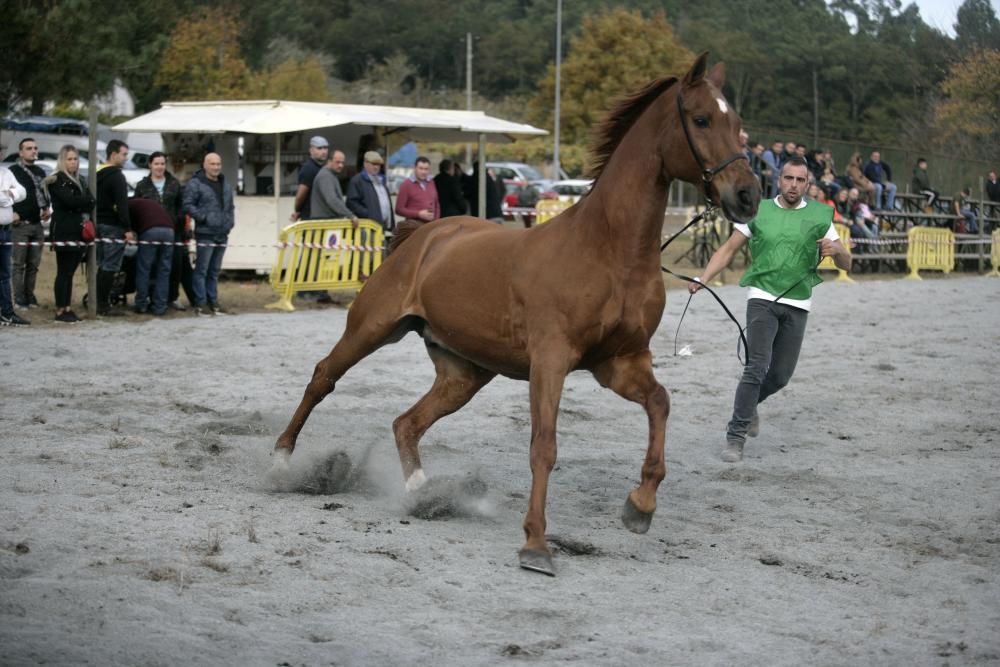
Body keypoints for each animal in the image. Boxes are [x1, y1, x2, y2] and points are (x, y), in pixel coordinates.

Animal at [272, 53, 756, 576]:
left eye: (738, 123)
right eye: (702, 119)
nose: (748, 195)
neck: (610, 252)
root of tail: (423, 236)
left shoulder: (620, 363)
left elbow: (661, 404)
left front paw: (639, 507)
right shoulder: (551, 361)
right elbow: (544, 446)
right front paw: (536, 545)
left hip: (463, 374)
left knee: (407, 423)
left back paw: (424, 495)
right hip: (372, 327)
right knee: (324, 377)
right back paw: (281, 461)